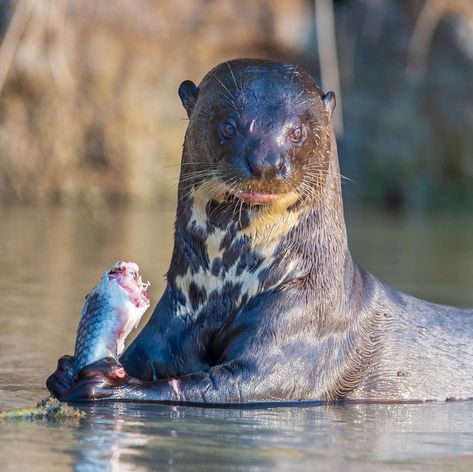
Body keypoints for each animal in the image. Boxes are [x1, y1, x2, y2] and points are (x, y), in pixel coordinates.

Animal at [47, 59, 472, 404]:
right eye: (228, 125)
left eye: (297, 130)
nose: (266, 161)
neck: (229, 286)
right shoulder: (165, 329)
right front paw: (66, 369)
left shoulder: (300, 337)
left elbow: (228, 385)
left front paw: (108, 384)